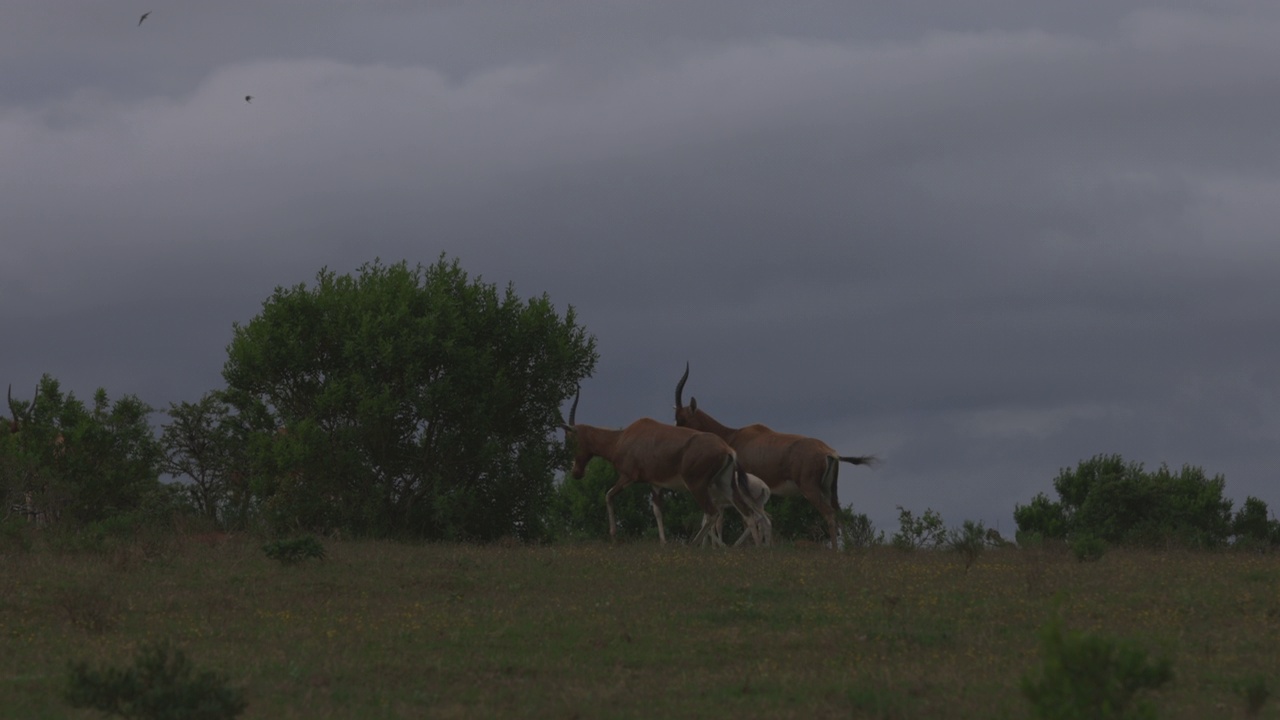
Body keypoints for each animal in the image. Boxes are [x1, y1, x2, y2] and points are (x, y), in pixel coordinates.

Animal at [558, 386, 757, 543]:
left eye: (571, 440)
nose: (576, 473)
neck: (622, 438)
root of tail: (727, 449)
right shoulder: (655, 484)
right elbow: (657, 511)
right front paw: (663, 543)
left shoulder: (628, 477)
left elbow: (608, 495)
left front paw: (613, 535)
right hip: (725, 484)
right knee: (748, 513)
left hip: (696, 485)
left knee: (713, 513)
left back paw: (693, 544)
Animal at [670, 363, 880, 543]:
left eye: (683, 419)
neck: (733, 435)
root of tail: (829, 453)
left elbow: (749, 520)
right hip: (830, 489)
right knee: (840, 514)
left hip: (810, 488)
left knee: (828, 514)